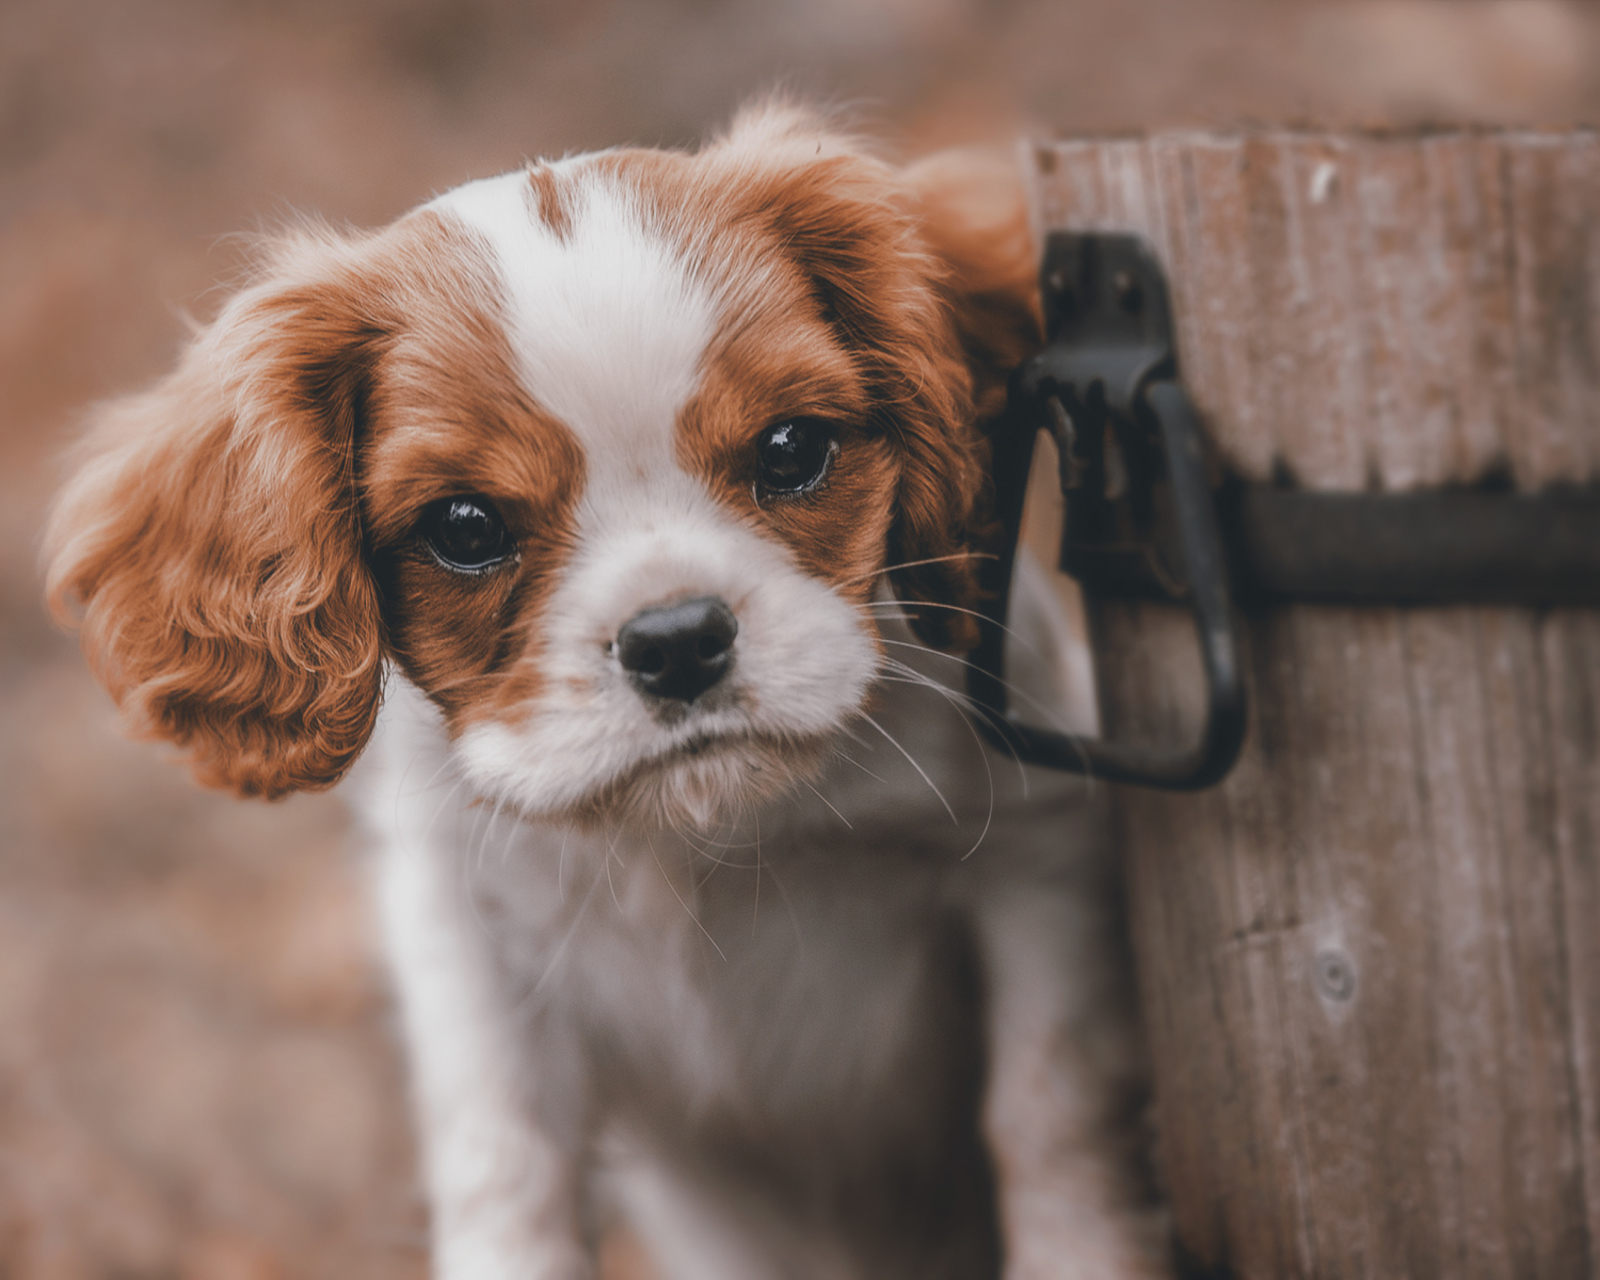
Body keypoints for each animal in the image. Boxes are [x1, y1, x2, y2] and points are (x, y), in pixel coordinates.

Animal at [40, 102, 1164, 1280]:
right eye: (465, 526)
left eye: (791, 449)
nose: (675, 641)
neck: (696, 833)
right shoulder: (470, 943)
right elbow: (504, 1165)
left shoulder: (1038, 861)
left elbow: (1047, 1113)